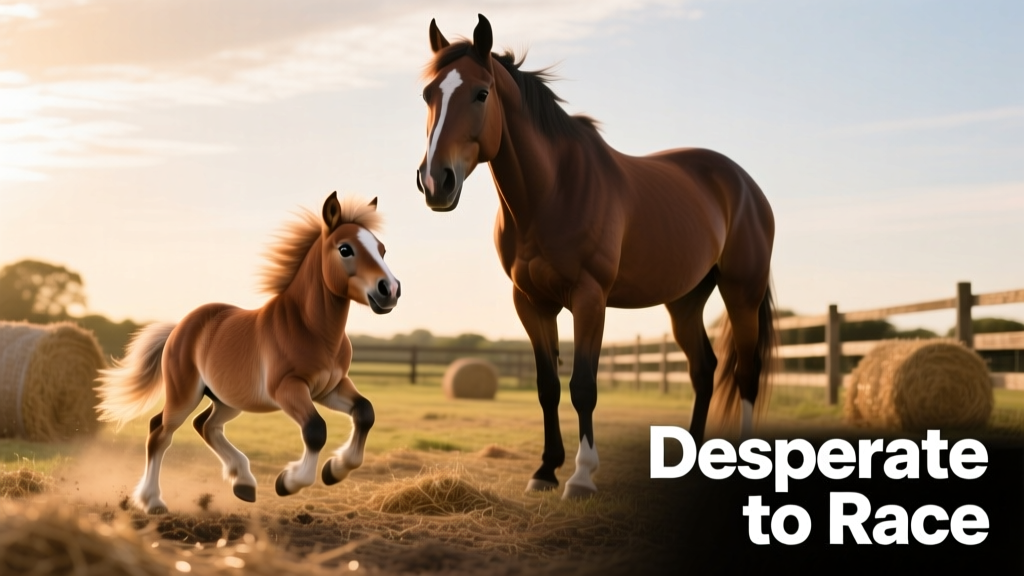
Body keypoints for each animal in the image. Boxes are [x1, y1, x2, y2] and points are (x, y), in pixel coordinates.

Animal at [95, 192, 400, 514]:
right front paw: (288, 482)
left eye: (382, 249)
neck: (310, 329)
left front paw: (334, 470)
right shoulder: (289, 389)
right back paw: (153, 501)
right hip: (184, 394)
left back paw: (242, 482)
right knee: (160, 432)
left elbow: (365, 412)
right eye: (345, 249)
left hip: (228, 398)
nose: (390, 290)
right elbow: (315, 429)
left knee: (206, 425)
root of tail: (179, 328)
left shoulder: (330, 388)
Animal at [416, 15, 776, 499]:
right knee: (704, 371)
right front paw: (545, 470)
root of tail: (744, 184)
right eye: (428, 95)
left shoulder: (589, 299)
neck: (552, 192)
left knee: (746, 372)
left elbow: (583, 386)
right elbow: (547, 386)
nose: (436, 182)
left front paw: (582, 476)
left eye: (481, 93)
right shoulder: (530, 303)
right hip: (684, 302)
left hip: (742, 294)